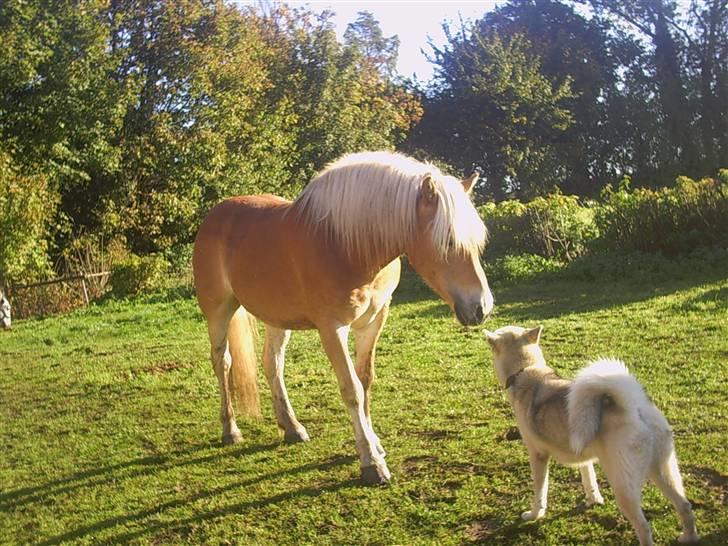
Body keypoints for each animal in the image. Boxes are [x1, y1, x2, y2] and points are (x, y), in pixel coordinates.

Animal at [192, 151, 494, 482]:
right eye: (449, 241)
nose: (482, 307)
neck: (347, 245)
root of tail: (217, 214)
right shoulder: (332, 328)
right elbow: (352, 389)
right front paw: (371, 463)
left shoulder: (374, 321)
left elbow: (365, 380)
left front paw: (375, 444)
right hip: (218, 310)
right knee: (222, 362)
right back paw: (230, 430)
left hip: (277, 318)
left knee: (273, 364)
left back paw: (292, 427)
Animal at [484, 326, 700, 540]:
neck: (526, 369)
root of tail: (633, 407)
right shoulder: (582, 455)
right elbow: (589, 477)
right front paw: (593, 499)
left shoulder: (538, 455)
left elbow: (540, 490)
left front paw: (534, 514)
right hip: (663, 471)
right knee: (685, 506)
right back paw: (688, 537)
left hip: (623, 486)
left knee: (644, 527)